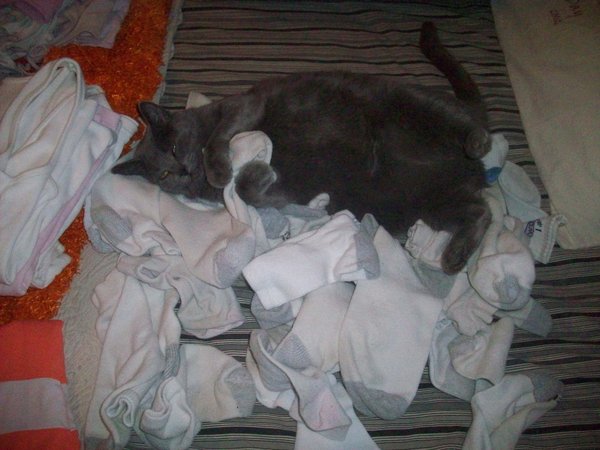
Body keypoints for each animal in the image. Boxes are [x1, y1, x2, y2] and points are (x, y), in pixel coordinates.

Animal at [112, 22, 492, 274]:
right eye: (163, 174)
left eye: (176, 147)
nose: (183, 171)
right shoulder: (285, 197)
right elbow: (251, 193)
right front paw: (257, 172)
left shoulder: (244, 106)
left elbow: (221, 137)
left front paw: (220, 169)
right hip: (424, 204)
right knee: (481, 211)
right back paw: (454, 257)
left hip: (409, 105)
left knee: (467, 127)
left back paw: (477, 140)